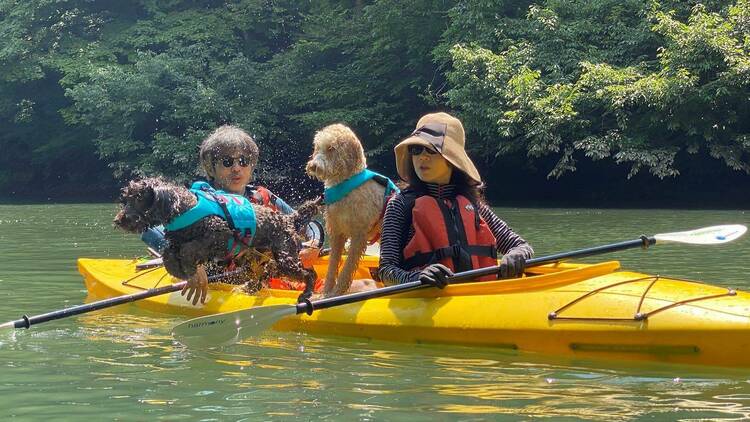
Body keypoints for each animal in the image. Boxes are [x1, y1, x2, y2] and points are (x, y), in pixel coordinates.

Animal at [114, 176, 320, 302]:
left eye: (138, 198)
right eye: (126, 199)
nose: (118, 220)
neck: (185, 208)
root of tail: (290, 219)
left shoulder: (219, 234)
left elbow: (188, 250)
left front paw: (189, 268)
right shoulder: (176, 241)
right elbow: (168, 254)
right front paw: (182, 270)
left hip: (284, 256)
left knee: (308, 274)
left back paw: (306, 293)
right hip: (260, 256)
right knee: (270, 271)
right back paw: (250, 287)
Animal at [306, 123, 400, 298]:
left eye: (331, 148)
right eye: (317, 147)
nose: (313, 166)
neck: (347, 186)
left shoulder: (358, 236)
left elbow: (347, 268)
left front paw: (336, 293)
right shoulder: (337, 232)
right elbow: (332, 266)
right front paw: (326, 292)